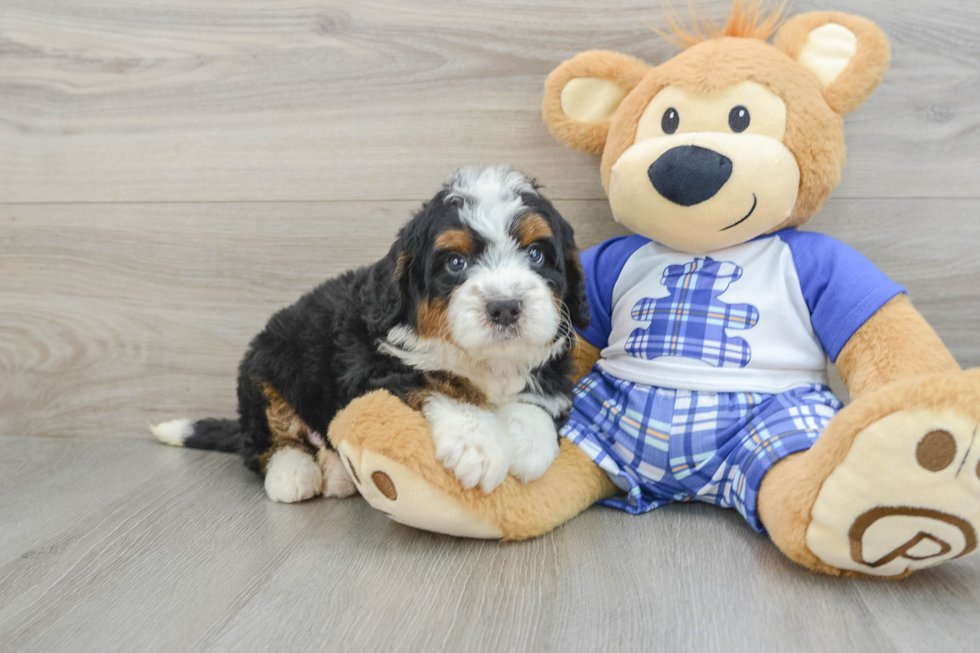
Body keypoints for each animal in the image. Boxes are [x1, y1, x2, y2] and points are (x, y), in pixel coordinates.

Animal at [149, 166, 584, 502]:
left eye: (536, 255)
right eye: (455, 263)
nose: (505, 306)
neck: (482, 359)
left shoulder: (552, 369)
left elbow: (541, 400)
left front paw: (529, 443)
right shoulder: (370, 369)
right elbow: (437, 380)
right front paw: (478, 444)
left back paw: (338, 471)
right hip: (265, 366)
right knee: (265, 442)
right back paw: (294, 473)